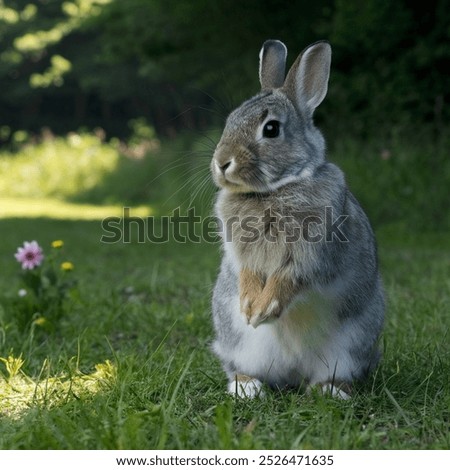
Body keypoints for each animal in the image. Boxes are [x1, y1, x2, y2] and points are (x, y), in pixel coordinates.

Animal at [210, 41, 384, 400]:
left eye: (271, 129)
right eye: (230, 120)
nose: (221, 162)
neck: (273, 191)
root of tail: (292, 372)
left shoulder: (313, 254)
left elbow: (289, 279)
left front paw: (263, 309)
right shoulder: (239, 255)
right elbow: (247, 272)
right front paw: (249, 306)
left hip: (351, 345)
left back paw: (331, 390)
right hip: (236, 342)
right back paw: (247, 387)